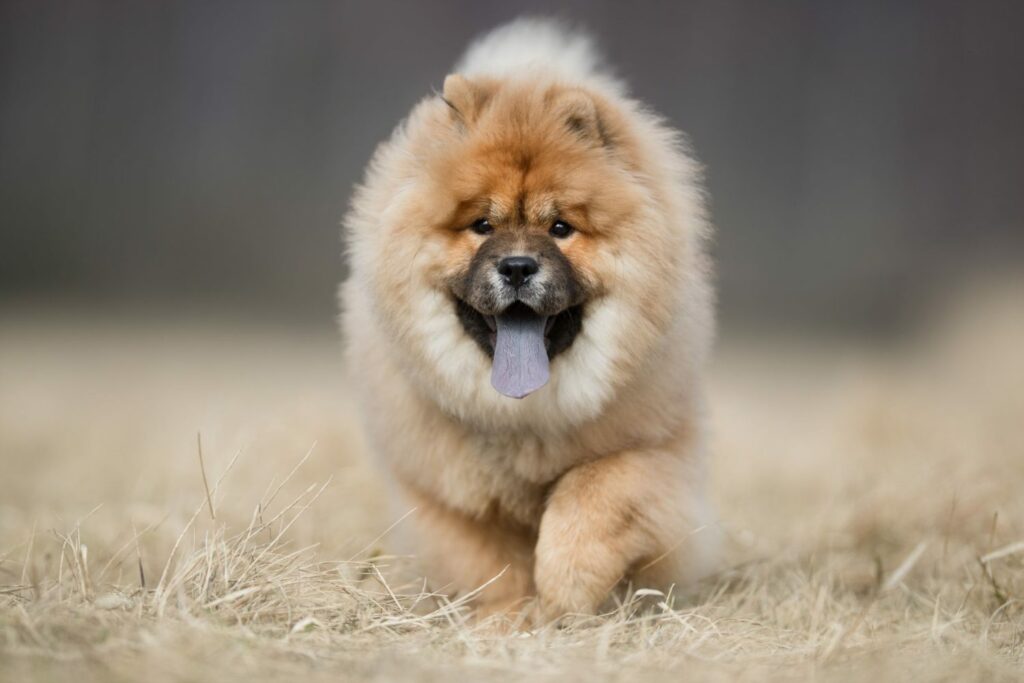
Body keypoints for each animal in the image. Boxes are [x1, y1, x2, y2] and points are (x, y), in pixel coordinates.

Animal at [339, 20, 716, 618]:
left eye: (560, 228)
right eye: (482, 225)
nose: (517, 266)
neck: (524, 417)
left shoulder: (654, 450)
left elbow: (593, 494)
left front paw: (566, 586)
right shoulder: (445, 488)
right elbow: (486, 561)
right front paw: (509, 617)